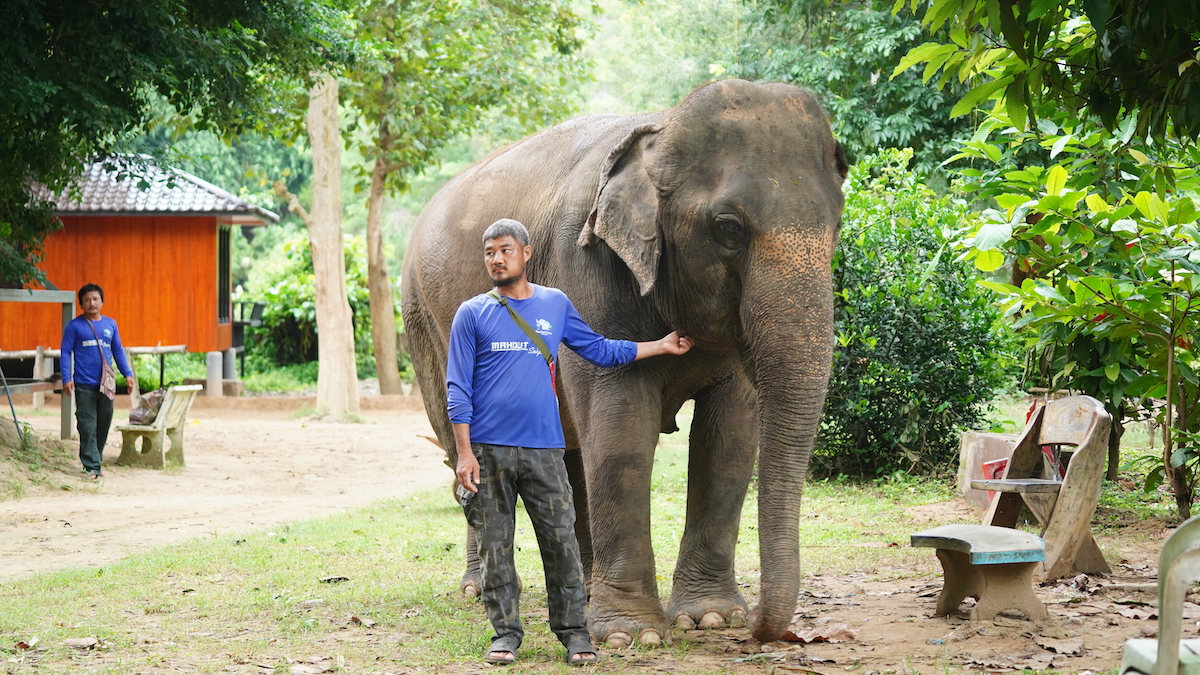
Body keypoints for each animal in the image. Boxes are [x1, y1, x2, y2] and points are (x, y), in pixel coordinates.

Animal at [400, 79, 848, 646]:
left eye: (837, 224)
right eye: (728, 228)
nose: (767, 631)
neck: (662, 126)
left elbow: (729, 437)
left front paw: (711, 617)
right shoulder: (585, 264)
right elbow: (620, 427)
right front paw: (632, 636)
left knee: (566, 456)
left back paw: (586, 589)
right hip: (421, 320)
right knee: (467, 448)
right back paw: (480, 588)